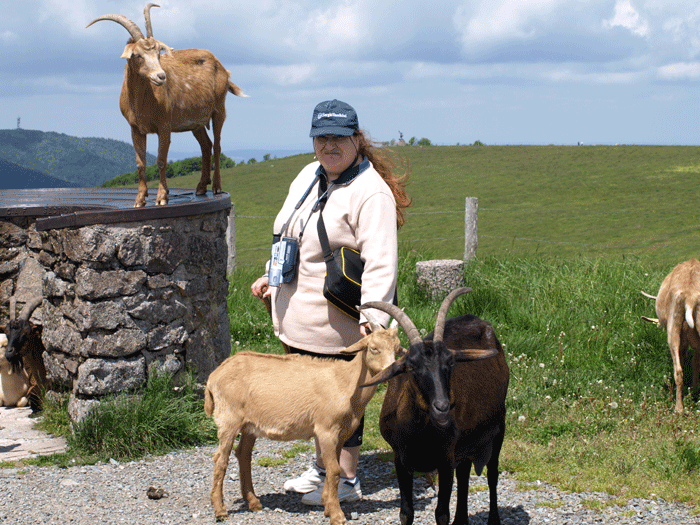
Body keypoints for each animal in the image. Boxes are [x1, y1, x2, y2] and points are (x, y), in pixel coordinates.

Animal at [87, 4, 246, 209]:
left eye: (157, 54)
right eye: (137, 55)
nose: (161, 76)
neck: (143, 103)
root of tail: (222, 67)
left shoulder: (164, 126)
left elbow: (161, 160)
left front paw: (162, 197)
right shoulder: (135, 128)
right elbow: (140, 163)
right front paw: (140, 199)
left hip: (219, 108)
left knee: (217, 145)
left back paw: (217, 187)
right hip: (196, 122)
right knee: (206, 145)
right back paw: (201, 187)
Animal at [204, 318, 400, 520]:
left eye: (397, 349)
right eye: (374, 348)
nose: (392, 372)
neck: (345, 382)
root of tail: (214, 376)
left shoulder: (341, 433)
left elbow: (334, 469)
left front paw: (327, 505)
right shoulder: (326, 430)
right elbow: (334, 470)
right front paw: (337, 515)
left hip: (250, 425)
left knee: (243, 454)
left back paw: (253, 502)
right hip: (229, 418)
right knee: (220, 459)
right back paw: (220, 510)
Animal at [366, 286, 508, 524]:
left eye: (450, 362)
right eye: (411, 367)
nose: (442, 406)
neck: (419, 434)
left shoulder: (445, 459)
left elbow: (441, 513)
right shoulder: (400, 460)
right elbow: (406, 513)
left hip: (498, 427)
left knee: (492, 474)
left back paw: (493, 519)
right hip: (465, 440)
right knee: (465, 474)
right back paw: (461, 520)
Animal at [640, 258, 700, 414]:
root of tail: (690, 295)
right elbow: (695, 364)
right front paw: (694, 391)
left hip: (673, 327)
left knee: (678, 371)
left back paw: (678, 408)